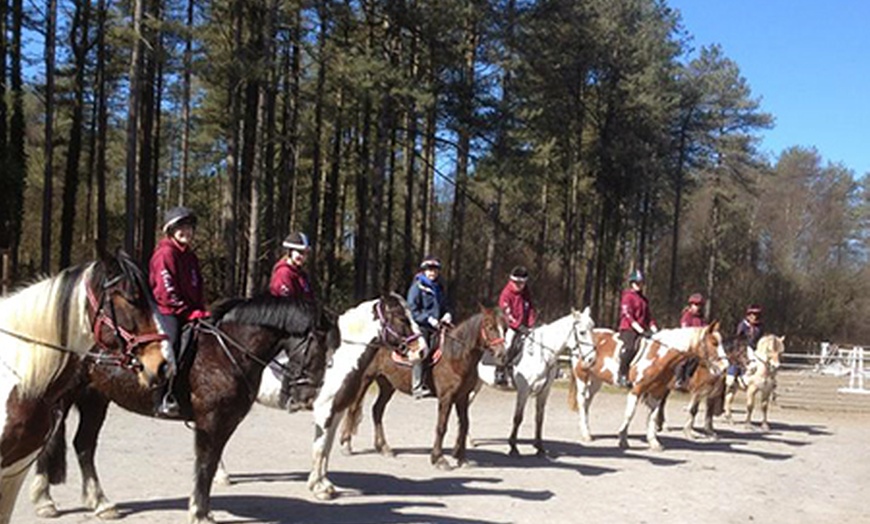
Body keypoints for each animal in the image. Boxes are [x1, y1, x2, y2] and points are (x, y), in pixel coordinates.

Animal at [28, 294, 340, 524]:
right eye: (318, 346)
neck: (225, 351)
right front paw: (199, 513)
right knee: (49, 443)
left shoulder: (226, 423)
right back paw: (45, 500)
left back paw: (101, 503)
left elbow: (211, 464)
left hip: (95, 399)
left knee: (84, 445)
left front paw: (203, 509)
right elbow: (204, 463)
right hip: (64, 398)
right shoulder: (210, 421)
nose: (307, 396)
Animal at [312, 302, 508, 500]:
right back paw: (347, 444)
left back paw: (384, 447)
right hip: (365, 380)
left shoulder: (462, 397)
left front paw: (461, 458)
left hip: (387, 385)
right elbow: (442, 427)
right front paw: (439, 459)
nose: (502, 354)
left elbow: (464, 425)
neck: (456, 355)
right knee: (353, 410)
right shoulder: (446, 398)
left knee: (377, 410)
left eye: (505, 328)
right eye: (490, 327)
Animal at [470, 308, 600, 458]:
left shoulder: (544, 392)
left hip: (477, 385)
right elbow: (518, 418)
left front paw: (539, 447)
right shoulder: (523, 391)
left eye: (592, 329)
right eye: (582, 332)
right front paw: (513, 447)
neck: (541, 355)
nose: (592, 359)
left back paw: (470, 440)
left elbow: (539, 418)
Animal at [568, 324, 732, 450]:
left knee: (587, 403)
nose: (725, 367)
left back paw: (587, 430)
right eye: (714, 342)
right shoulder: (637, 389)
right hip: (582, 377)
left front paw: (654, 442)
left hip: (596, 381)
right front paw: (623, 439)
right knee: (582, 402)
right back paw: (586, 434)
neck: (660, 356)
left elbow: (653, 416)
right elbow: (630, 414)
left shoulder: (658, 392)